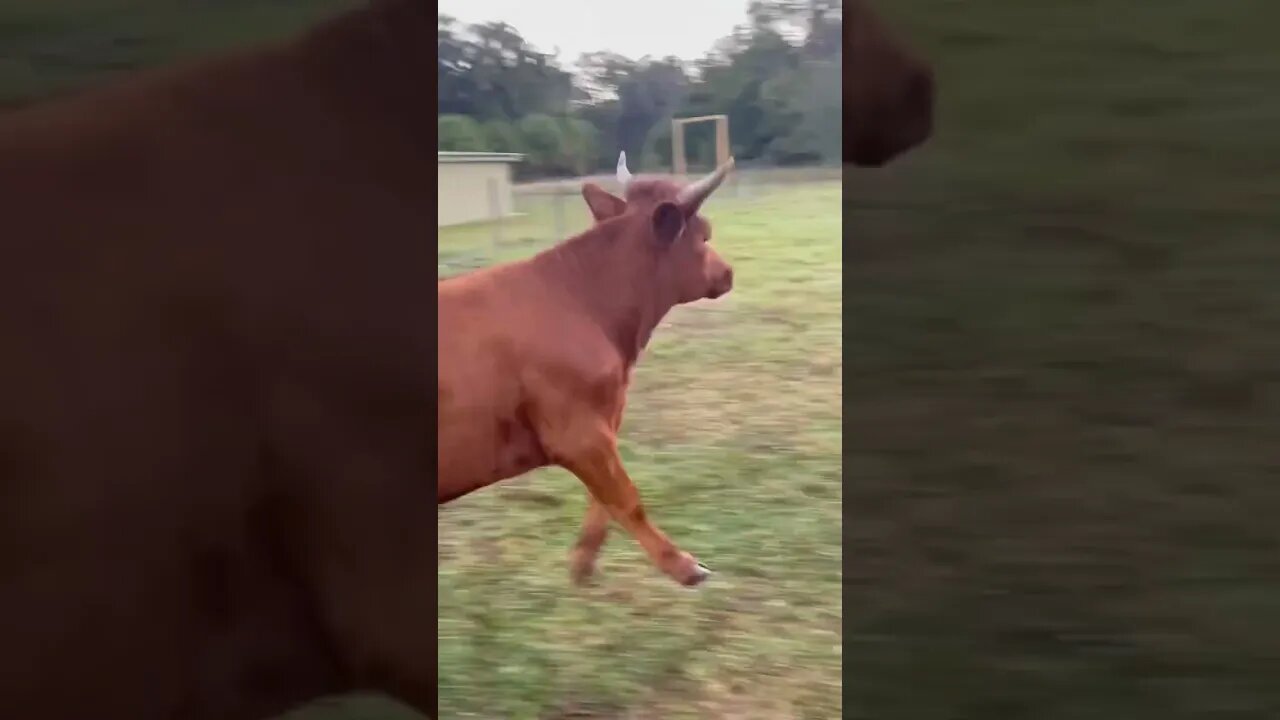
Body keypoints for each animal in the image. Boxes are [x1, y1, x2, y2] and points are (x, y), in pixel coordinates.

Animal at [442, 154, 737, 586]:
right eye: (702, 236)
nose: (728, 272)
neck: (584, 301)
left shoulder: (602, 425)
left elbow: (606, 497)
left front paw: (582, 560)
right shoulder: (578, 432)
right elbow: (627, 499)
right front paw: (684, 566)